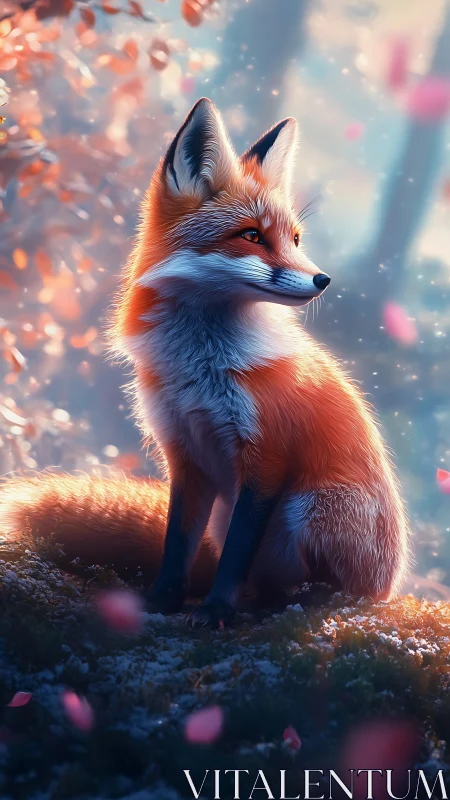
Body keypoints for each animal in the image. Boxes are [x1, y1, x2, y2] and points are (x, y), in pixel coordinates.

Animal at [0, 98, 410, 626]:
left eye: (295, 240)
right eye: (252, 235)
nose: (323, 279)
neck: (201, 368)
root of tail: (389, 583)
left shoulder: (267, 457)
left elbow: (236, 553)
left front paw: (215, 610)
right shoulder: (185, 452)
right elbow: (177, 541)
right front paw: (162, 601)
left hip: (311, 507)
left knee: (329, 588)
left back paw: (308, 599)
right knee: (254, 578)